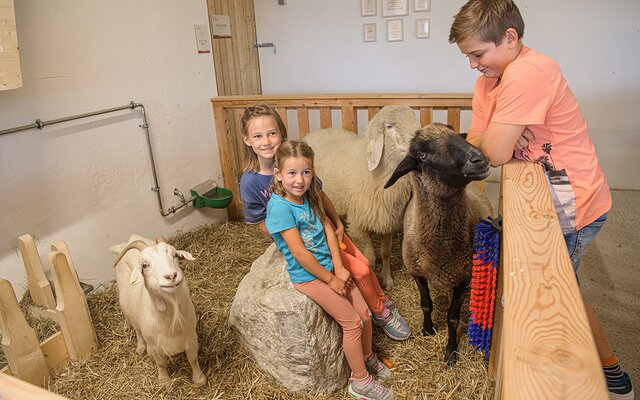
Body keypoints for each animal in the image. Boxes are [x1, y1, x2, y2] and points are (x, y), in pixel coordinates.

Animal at [111, 234, 206, 384]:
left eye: (175, 255)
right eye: (144, 265)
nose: (171, 276)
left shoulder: (191, 337)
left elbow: (193, 359)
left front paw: (199, 379)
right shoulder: (154, 346)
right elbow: (160, 363)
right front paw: (164, 381)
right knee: (135, 327)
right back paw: (140, 346)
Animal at [304, 105, 420, 290]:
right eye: (389, 126)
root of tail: (314, 133)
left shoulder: (388, 221)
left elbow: (385, 253)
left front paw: (387, 280)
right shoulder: (358, 224)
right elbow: (370, 260)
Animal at [382, 123, 492, 364]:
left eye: (455, 134)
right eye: (423, 154)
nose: (480, 159)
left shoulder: (463, 278)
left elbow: (453, 318)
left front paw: (451, 351)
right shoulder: (417, 272)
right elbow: (426, 304)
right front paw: (428, 329)